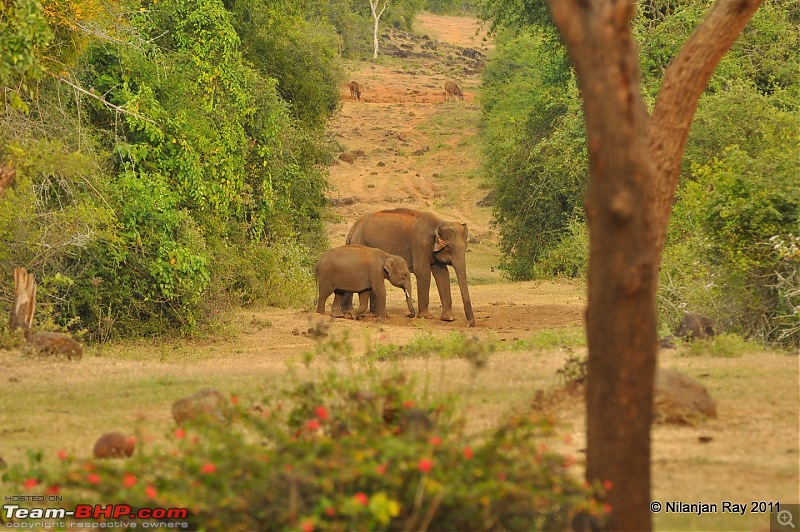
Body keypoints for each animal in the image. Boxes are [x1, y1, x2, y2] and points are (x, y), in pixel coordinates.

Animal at [346, 207, 476, 324]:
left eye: (465, 248)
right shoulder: (420, 244)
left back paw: (374, 313)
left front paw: (449, 318)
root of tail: (352, 229)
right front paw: (426, 317)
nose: (470, 324)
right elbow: (423, 272)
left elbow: (442, 274)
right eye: (449, 248)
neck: (439, 222)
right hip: (361, 243)